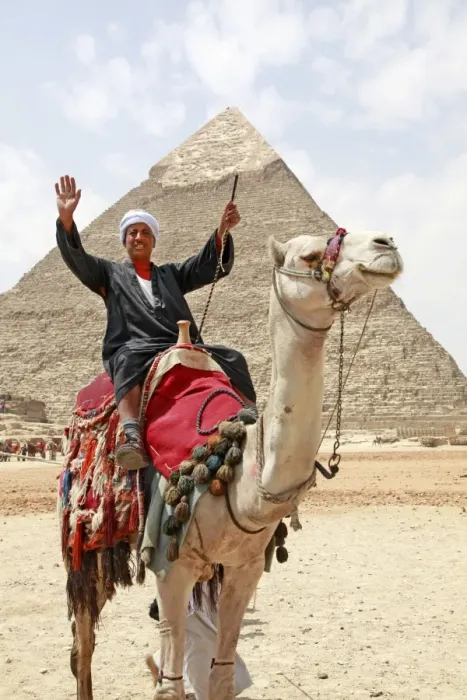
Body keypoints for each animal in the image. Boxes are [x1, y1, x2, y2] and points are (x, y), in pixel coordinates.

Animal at [67, 228, 403, 700]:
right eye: (310, 255)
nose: (386, 244)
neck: (241, 478)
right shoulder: (169, 566)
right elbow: (170, 685)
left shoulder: (245, 570)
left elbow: (221, 676)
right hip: (87, 542)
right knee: (83, 644)